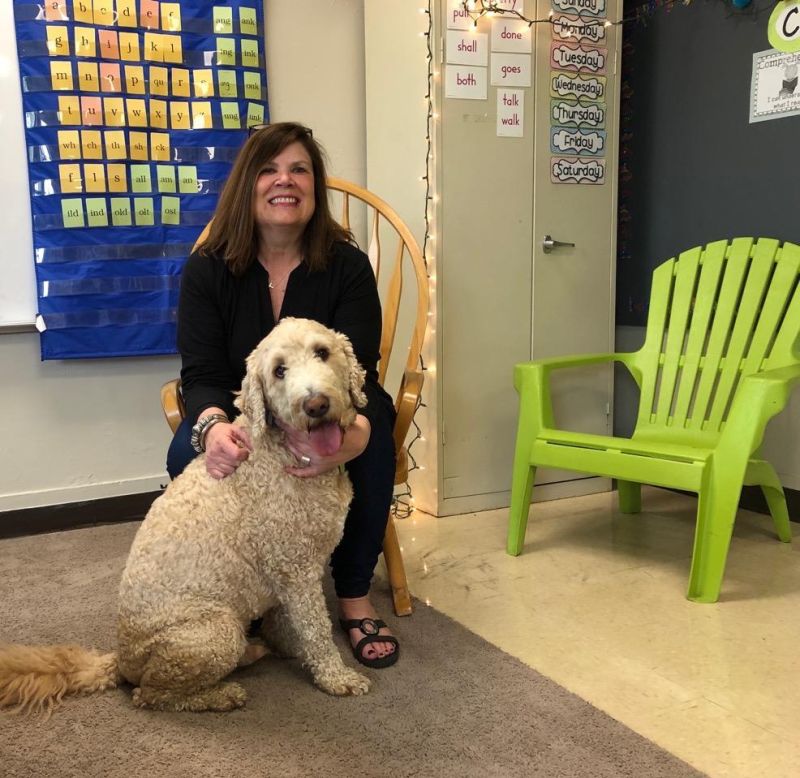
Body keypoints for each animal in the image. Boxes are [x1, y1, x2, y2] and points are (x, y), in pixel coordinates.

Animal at [0, 316, 374, 716]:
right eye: (279, 371)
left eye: (322, 352)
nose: (315, 404)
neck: (280, 451)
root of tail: (121, 658)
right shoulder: (295, 568)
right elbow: (316, 628)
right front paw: (334, 676)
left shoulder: (294, 568)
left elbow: (287, 619)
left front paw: (288, 646)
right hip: (216, 631)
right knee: (152, 694)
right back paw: (221, 694)